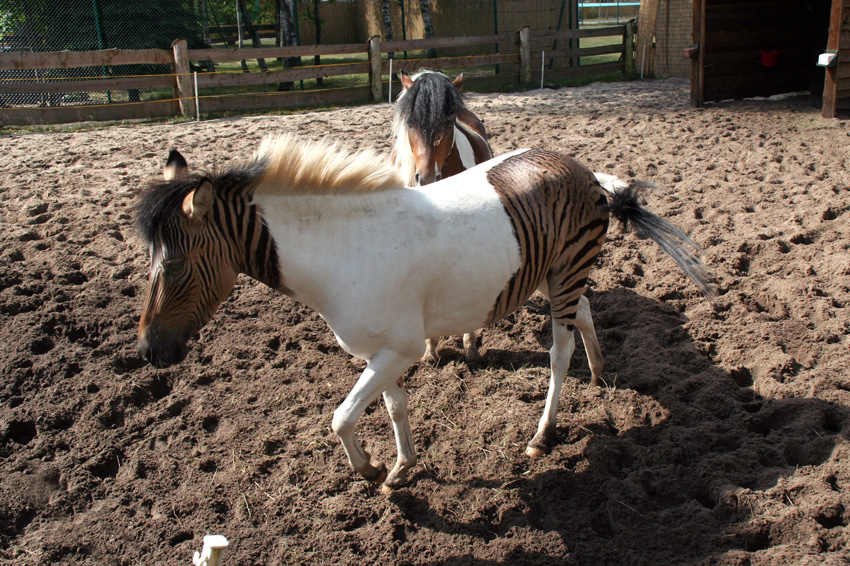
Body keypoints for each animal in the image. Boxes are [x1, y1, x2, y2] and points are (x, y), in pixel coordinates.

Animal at [136, 135, 712, 490]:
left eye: (176, 265)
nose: (146, 351)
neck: (344, 249)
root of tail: (585, 169)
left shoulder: (399, 349)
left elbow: (342, 416)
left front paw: (369, 470)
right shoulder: (383, 351)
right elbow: (392, 408)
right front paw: (400, 467)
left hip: (567, 270)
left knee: (558, 351)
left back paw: (542, 435)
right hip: (556, 275)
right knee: (586, 312)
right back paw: (598, 372)